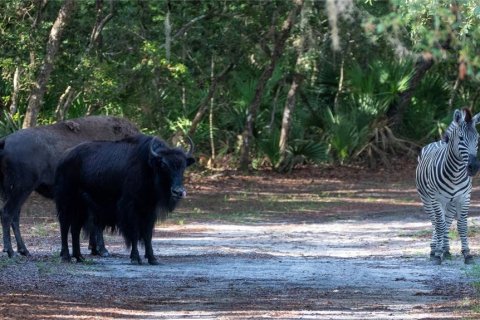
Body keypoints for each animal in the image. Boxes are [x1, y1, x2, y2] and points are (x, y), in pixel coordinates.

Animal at [0, 115, 139, 258]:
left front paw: (94, 249)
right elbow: (96, 223)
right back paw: (11, 251)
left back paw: (24, 250)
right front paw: (103, 250)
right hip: (21, 189)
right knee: (7, 213)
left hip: (12, 191)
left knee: (14, 216)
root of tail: (5, 141)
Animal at [54, 134, 193, 264]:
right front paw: (135, 258)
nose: (179, 192)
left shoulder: (149, 209)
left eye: (183, 166)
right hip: (66, 203)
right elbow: (134, 232)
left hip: (80, 207)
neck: (148, 166)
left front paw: (152, 259)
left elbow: (148, 234)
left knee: (75, 229)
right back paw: (66, 256)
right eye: (164, 165)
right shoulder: (130, 207)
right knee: (64, 226)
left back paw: (79, 257)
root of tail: (63, 158)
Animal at [414, 109, 478, 264]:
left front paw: (467, 253)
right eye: (461, 139)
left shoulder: (464, 198)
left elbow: (462, 225)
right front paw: (437, 254)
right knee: (435, 221)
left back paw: (446, 249)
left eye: (477, 139)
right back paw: (435, 250)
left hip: (451, 202)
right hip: (427, 199)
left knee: (447, 221)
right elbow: (439, 224)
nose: (473, 167)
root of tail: (438, 142)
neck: (455, 174)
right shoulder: (437, 199)